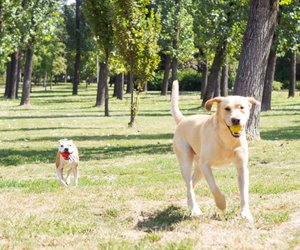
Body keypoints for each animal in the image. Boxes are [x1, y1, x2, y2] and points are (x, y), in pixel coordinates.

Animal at [171, 80, 260, 223]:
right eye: (227, 108)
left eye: (242, 107)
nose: (236, 119)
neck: (227, 140)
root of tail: (183, 120)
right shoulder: (206, 165)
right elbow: (214, 188)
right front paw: (222, 204)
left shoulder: (242, 167)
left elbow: (244, 192)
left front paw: (245, 214)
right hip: (186, 161)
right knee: (189, 184)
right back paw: (195, 209)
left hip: (199, 169)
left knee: (190, 184)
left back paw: (190, 204)